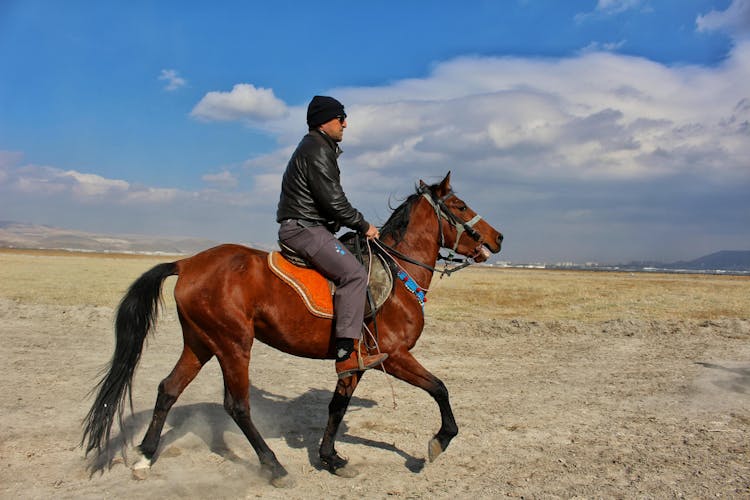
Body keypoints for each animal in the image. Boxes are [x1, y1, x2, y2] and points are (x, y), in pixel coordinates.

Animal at [82, 172, 506, 484]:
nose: (498, 237)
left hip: (200, 343)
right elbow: (440, 388)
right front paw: (439, 441)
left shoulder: (356, 360)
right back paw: (273, 466)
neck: (398, 275)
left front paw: (330, 458)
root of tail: (187, 263)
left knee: (168, 390)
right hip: (233, 344)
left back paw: (145, 457)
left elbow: (337, 406)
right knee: (236, 405)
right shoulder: (394, 355)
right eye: (460, 205)